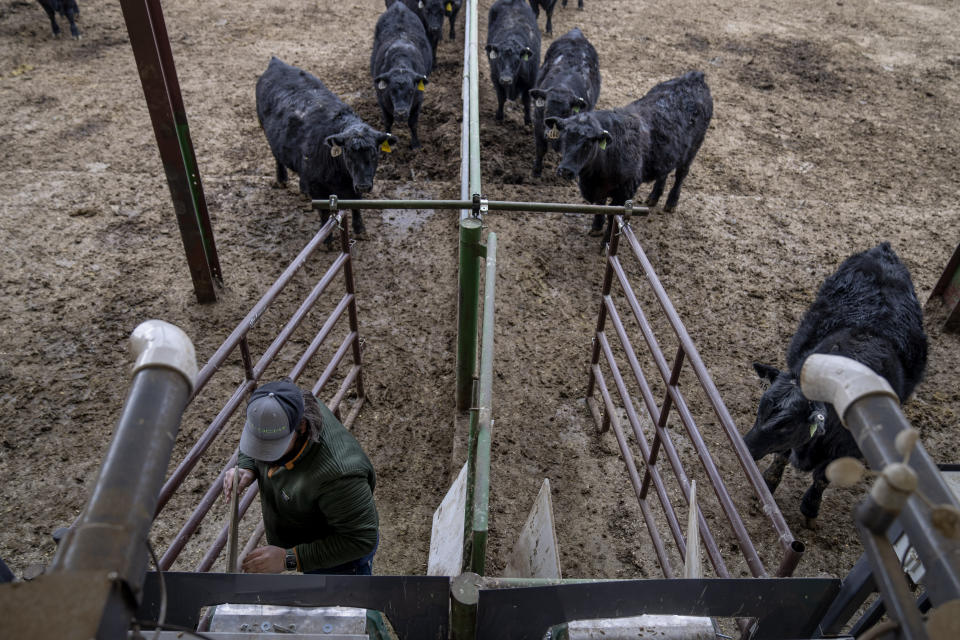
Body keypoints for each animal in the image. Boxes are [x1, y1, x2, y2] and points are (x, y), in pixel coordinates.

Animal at [255, 57, 398, 241]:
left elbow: (356, 204)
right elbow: (323, 213)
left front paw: (360, 229)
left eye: (375, 154)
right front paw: (327, 239)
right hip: (266, 131)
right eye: (348, 154)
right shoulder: (318, 187)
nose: (364, 186)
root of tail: (276, 63)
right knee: (277, 157)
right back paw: (282, 180)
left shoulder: (353, 183)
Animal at [374, 1, 434, 149]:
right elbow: (388, 122)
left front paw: (416, 144)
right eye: (391, 90)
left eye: (411, 91)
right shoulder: (381, 99)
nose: (401, 113)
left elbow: (413, 123)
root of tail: (398, 5)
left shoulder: (418, 100)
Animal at [528, 27, 596, 176]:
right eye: (546, 108)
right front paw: (536, 171)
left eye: (566, 112)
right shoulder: (538, 122)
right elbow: (541, 148)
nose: (549, 134)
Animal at [552, 69, 708, 240]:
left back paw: (671, 203)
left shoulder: (625, 192)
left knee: (681, 175)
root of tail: (694, 77)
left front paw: (605, 242)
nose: (565, 170)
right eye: (563, 139)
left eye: (588, 144)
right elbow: (600, 206)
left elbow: (614, 217)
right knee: (664, 173)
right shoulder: (599, 189)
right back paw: (653, 197)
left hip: (693, 149)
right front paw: (596, 228)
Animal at [748, 242, 928, 528]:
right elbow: (781, 456)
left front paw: (810, 509)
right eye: (760, 409)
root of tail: (884, 250)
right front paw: (767, 484)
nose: (745, 446)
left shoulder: (848, 449)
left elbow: (824, 477)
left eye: (786, 425)